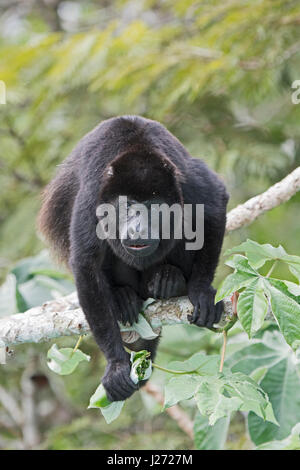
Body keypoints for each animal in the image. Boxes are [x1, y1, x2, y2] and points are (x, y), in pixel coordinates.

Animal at [38, 115, 229, 402]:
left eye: (153, 206)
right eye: (127, 205)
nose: (138, 227)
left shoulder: (187, 183)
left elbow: (215, 203)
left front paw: (201, 291)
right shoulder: (94, 195)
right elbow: (86, 262)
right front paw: (116, 364)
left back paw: (169, 280)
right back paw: (122, 297)